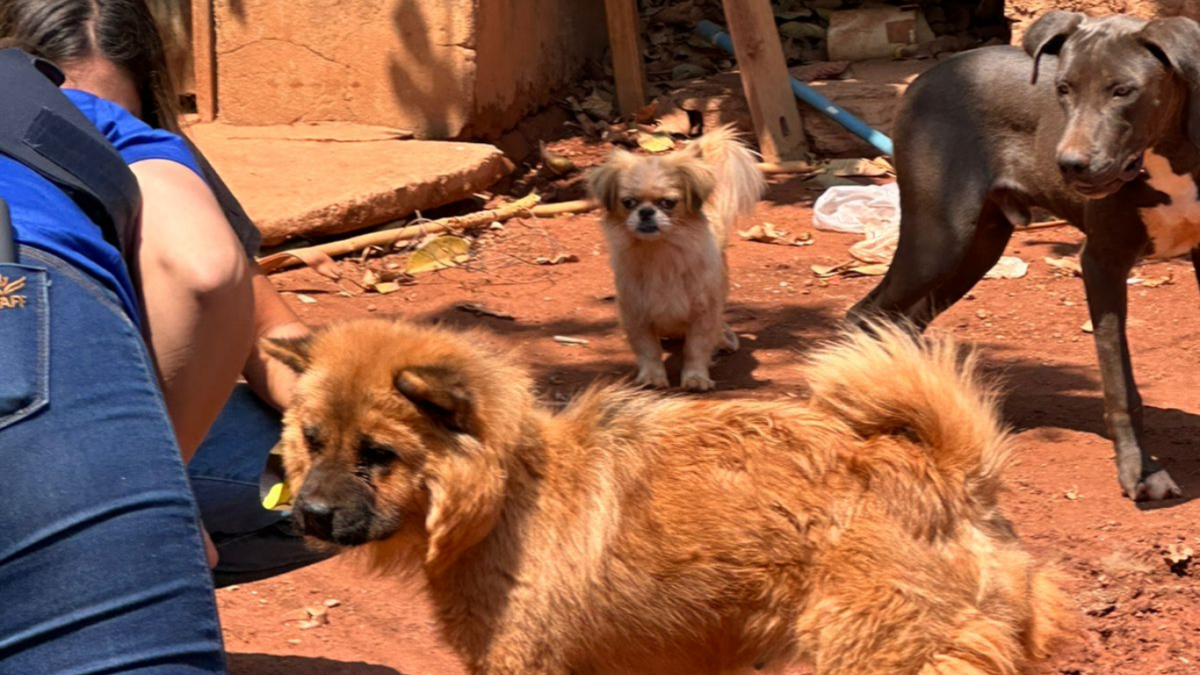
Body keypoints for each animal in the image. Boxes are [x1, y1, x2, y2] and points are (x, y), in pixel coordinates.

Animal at [585, 124, 763, 391]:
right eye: (628, 202)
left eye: (668, 202)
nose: (646, 212)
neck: (661, 253)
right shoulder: (636, 313)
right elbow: (648, 350)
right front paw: (652, 378)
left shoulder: (703, 312)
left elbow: (696, 349)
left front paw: (695, 378)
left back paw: (722, 338)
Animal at [849, 11, 1200, 499]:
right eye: (1063, 89)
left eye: (1124, 90)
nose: (1069, 164)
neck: (1171, 156)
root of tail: (929, 74)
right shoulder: (1101, 262)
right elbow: (1119, 382)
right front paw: (1140, 472)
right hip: (938, 238)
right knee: (864, 314)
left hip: (978, 247)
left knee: (904, 321)